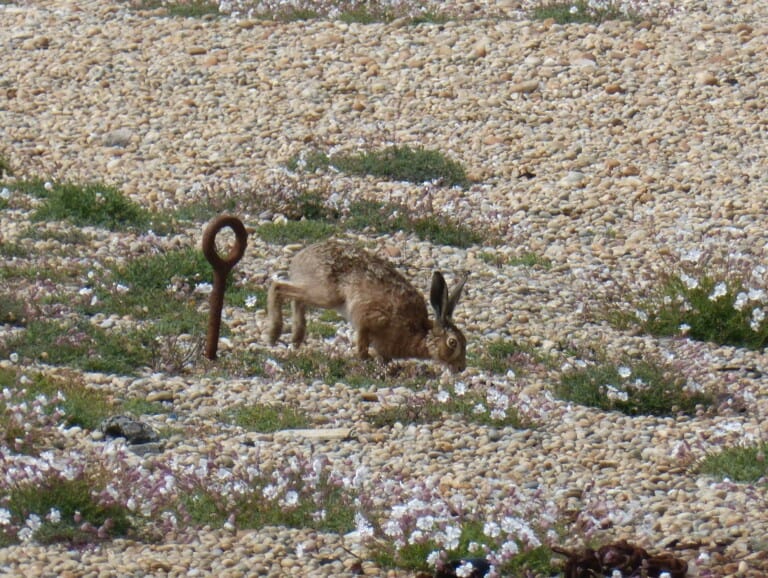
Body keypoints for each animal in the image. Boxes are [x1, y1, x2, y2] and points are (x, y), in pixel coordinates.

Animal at [267, 240, 468, 372]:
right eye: (452, 342)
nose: (461, 368)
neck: (417, 330)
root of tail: (300, 257)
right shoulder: (370, 318)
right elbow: (362, 341)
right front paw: (366, 359)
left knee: (296, 299)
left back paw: (296, 339)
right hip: (327, 295)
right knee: (278, 288)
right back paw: (273, 335)